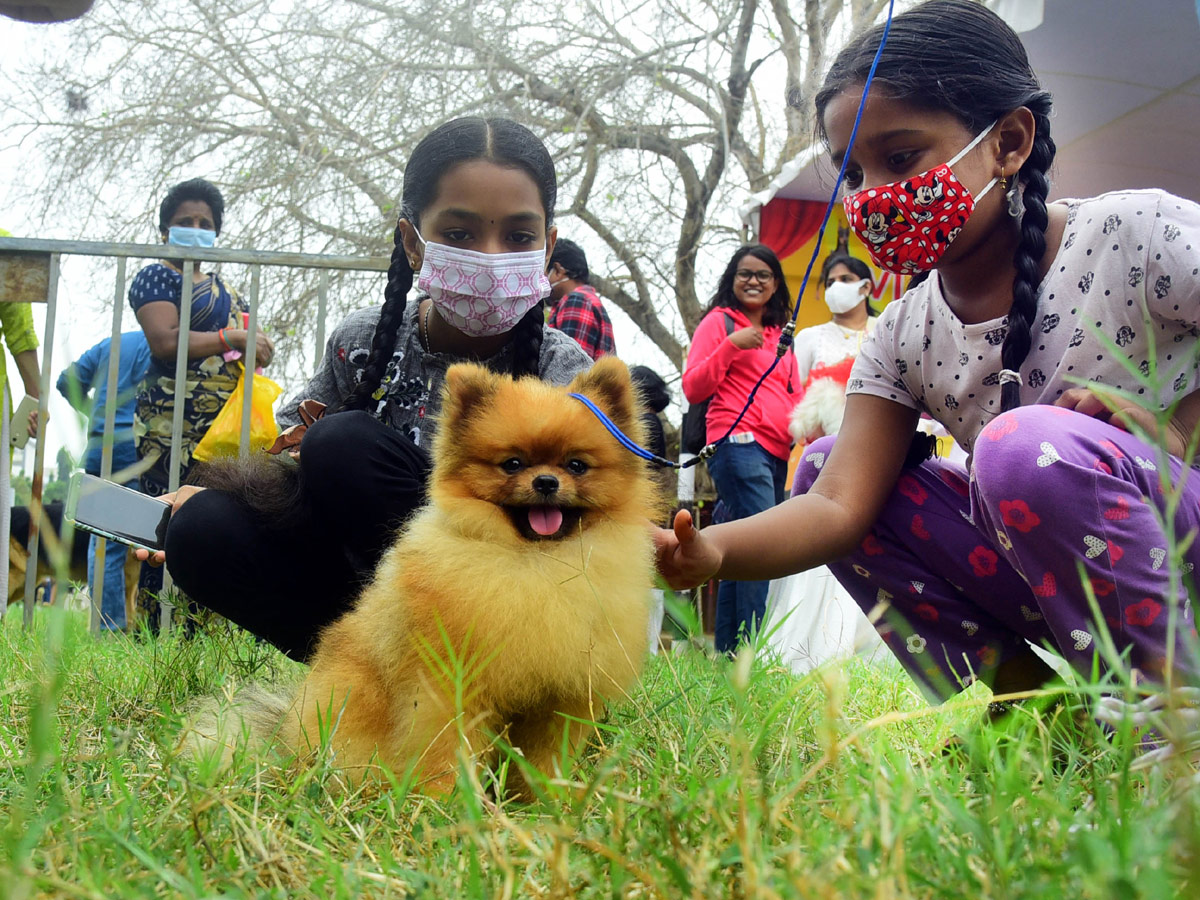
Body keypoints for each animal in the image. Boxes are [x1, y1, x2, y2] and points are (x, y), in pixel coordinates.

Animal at [188, 357, 662, 796]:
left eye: (577, 466)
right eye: (512, 464)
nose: (546, 481)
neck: (537, 564)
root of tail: (286, 738)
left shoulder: (561, 699)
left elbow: (545, 761)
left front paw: (547, 803)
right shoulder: (448, 686)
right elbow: (445, 750)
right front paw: (445, 804)